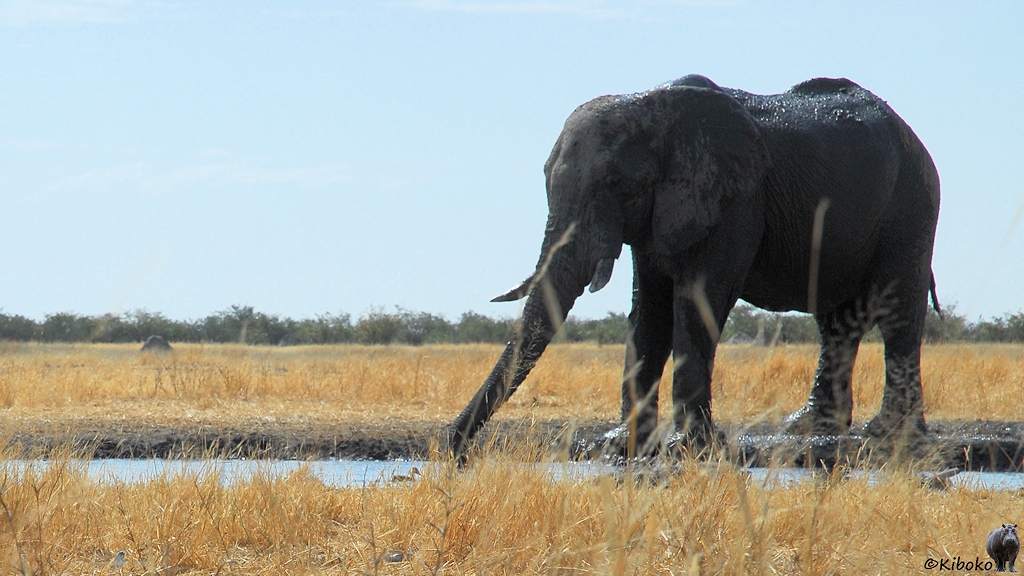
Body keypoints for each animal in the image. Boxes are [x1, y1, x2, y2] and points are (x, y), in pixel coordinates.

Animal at [448, 75, 940, 460]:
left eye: (616, 182)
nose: (452, 449)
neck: (654, 110)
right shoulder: (658, 218)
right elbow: (648, 314)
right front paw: (622, 446)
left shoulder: (735, 201)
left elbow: (697, 304)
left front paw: (690, 449)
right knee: (836, 322)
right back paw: (809, 429)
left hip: (913, 205)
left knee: (898, 313)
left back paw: (888, 435)